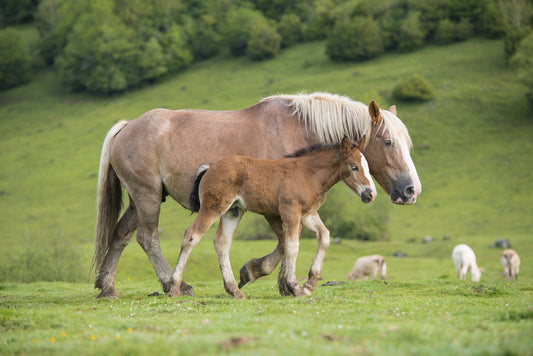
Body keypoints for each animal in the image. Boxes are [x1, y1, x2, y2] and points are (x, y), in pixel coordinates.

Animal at [169, 136, 374, 298]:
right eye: (354, 167)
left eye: (367, 167)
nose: (370, 194)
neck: (308, 173)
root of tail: (210, 167)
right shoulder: (290, 212)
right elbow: (292, 246)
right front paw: (296, 288)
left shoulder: (307, 214)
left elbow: (324, 236)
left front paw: (309, 284)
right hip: (213, 208)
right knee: (191, 236)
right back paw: (173, 287)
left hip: (232, 212)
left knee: (222, 242)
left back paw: (235, 290)